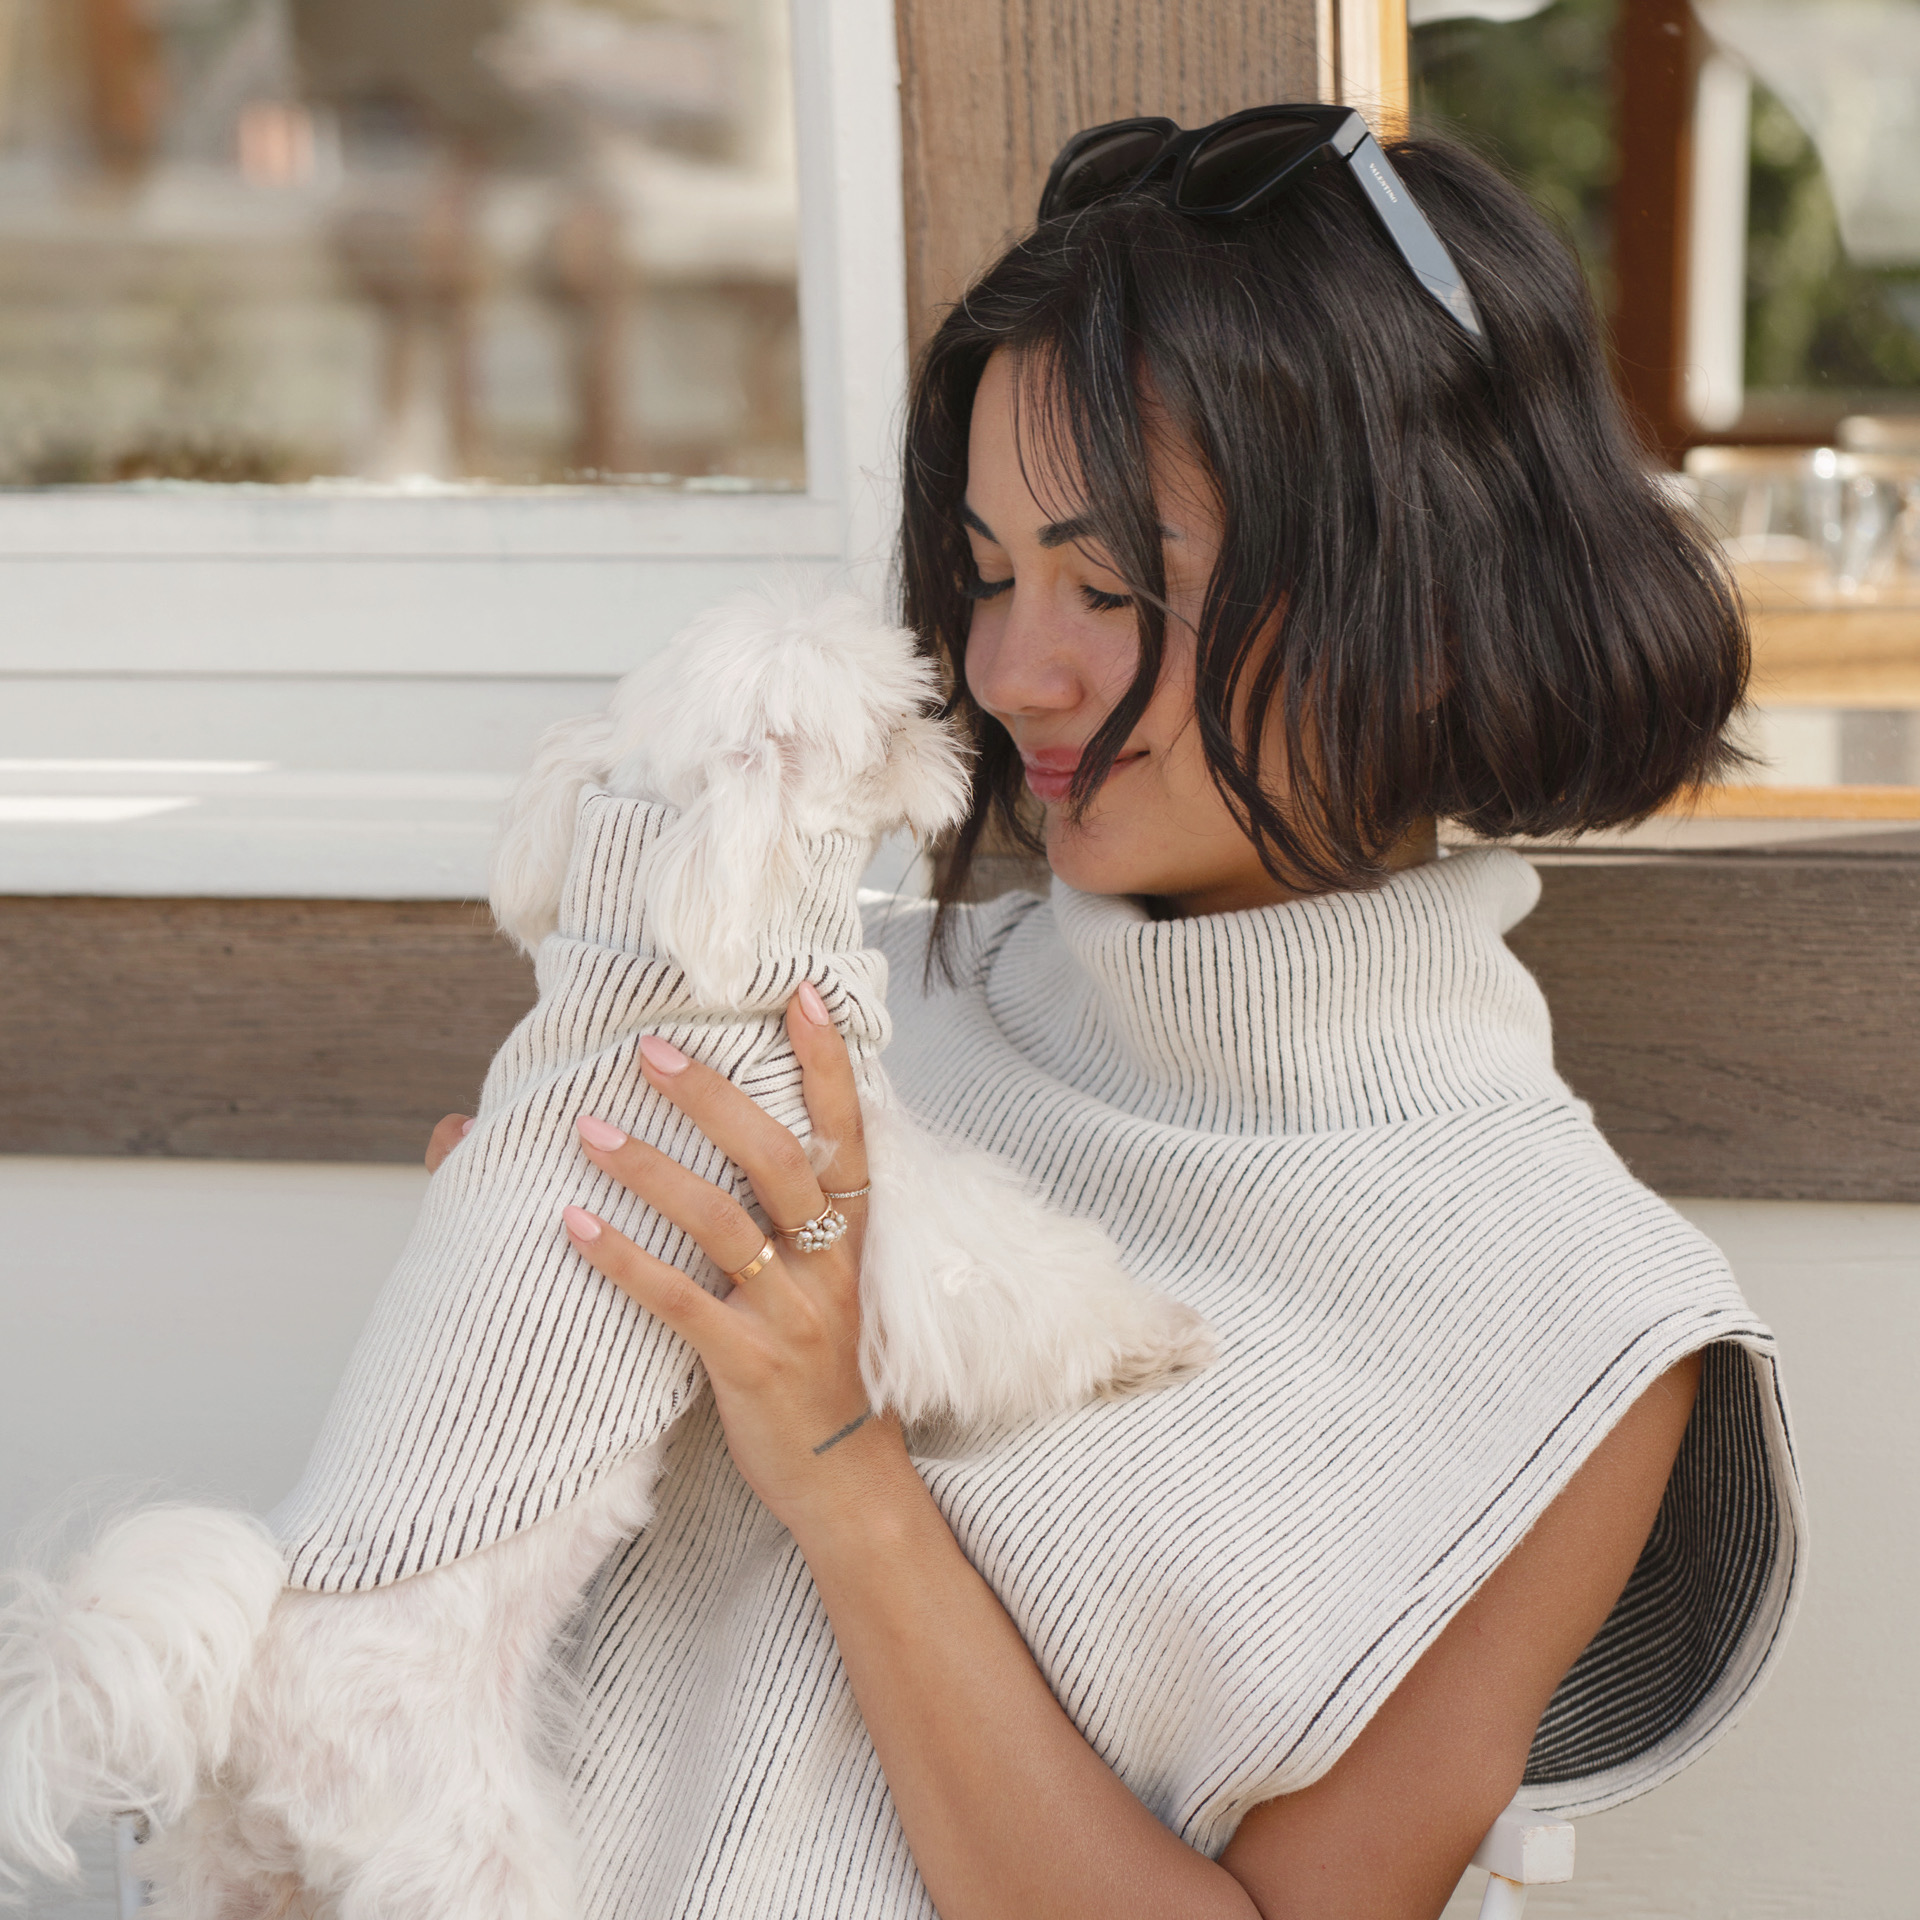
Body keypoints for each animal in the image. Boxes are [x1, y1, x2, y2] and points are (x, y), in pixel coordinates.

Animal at [0, 591, 1205, 1912]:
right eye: (897, 718)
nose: (954, 724)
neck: (673, 934)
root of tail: (245, 1678)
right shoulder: (851, 1156)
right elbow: (1002, 1268)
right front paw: (1141, 1339)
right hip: (463, 1838)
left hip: (240, 1864)